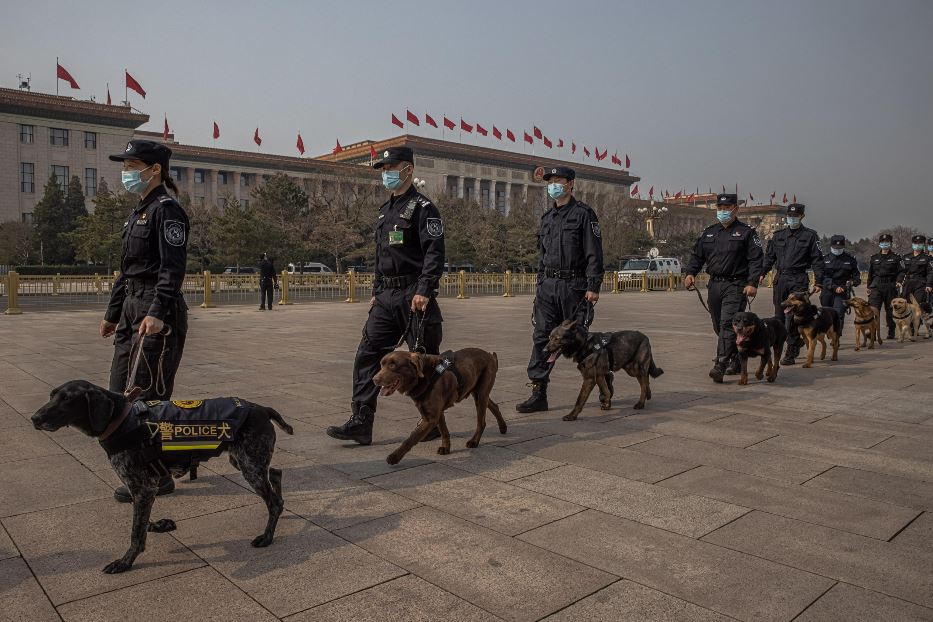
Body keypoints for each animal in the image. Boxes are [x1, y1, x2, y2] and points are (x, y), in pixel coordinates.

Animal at [31, 382, 292, 576]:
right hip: (245, 461)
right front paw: (159, 525)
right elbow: (142, 520)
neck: (120, 420)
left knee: (273, 501)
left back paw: (267, 537)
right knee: (276, 475)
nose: (34, 418)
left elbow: (136, 533)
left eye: (67, 399)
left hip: (250, 466)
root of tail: (262, 408)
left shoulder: (143, 488)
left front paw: (125, 562)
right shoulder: (145, 488)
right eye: (52, 396)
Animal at [372, 348, 506, 466]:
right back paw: (503, 427)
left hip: (481, 393)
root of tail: (490, 355)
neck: (423, 377)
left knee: (481, 422)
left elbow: (411, 438)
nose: (374, 379)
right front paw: (446, 448)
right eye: (381, 365)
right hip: (476, 392)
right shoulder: (437, 412)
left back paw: (474, 441)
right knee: (494, 405)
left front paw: (394, 457)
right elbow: (443, 430)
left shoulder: (430, 418)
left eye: (393, 365)